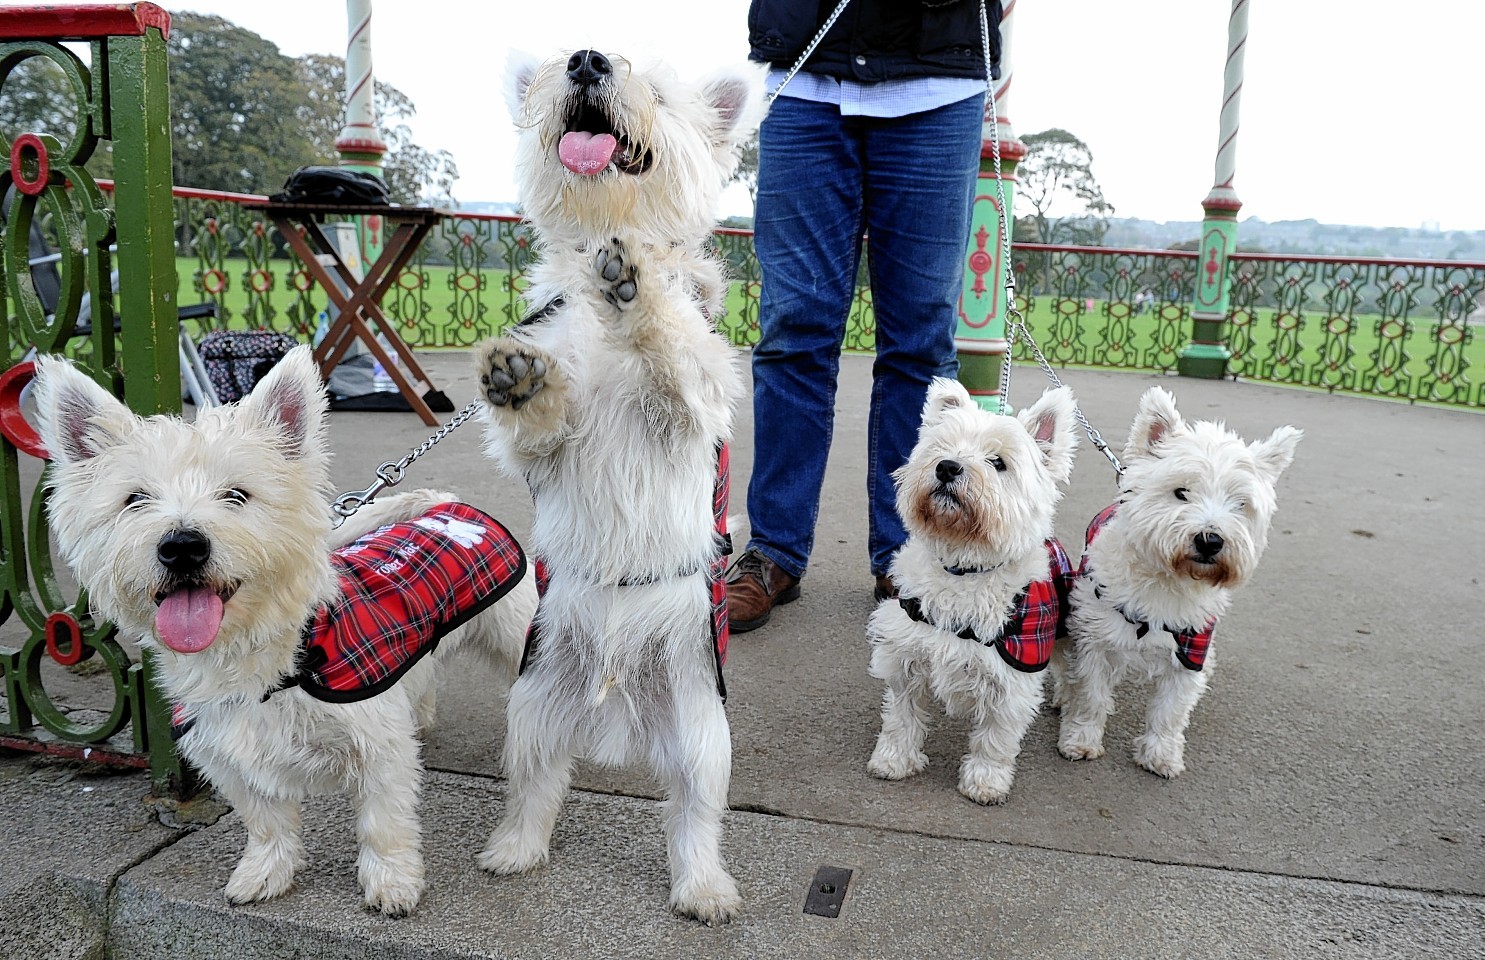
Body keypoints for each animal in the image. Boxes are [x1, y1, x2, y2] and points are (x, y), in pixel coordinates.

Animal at [33, 347, 540, 915]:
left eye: (237, 495)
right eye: (134, 499)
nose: (182, 545)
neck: (265, 654)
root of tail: (444, 502)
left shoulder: (379, 746)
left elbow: (383, 824)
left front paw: (392, 883)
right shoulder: (228, 756)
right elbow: (266, 825)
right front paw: (264, 875)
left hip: (518, 631)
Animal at [469, 49, 766, 927]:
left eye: (658, 91)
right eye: (569, 57)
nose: (587, 58)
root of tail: (613, 691)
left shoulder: (692, 400)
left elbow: (671, 347)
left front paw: (634, 285)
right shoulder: (547, 448)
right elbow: (539, 425)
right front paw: (518, 379)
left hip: (702, 735)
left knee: (692, 818)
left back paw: (703, 890)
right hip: (533, 706)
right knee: (536, 788)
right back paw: (513, 851)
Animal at [867, 380, 1075, 808]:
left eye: (998, 462)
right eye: (942, 447)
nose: (947, 467)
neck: (963, 571)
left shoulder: (1013, 676)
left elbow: (996, 737)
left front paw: (985, 783)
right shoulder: (906, 656)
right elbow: (901, 715)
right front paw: (893, 760)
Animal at [1057, 386, 1300, 778]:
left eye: (1240, 504)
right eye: (1181, 492)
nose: (1210, 540)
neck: (1167, 583)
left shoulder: (1189, 651)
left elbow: (1170, 711)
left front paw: (1160, 755)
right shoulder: (1097, 639)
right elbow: (1090, 695)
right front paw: (1080, 740)